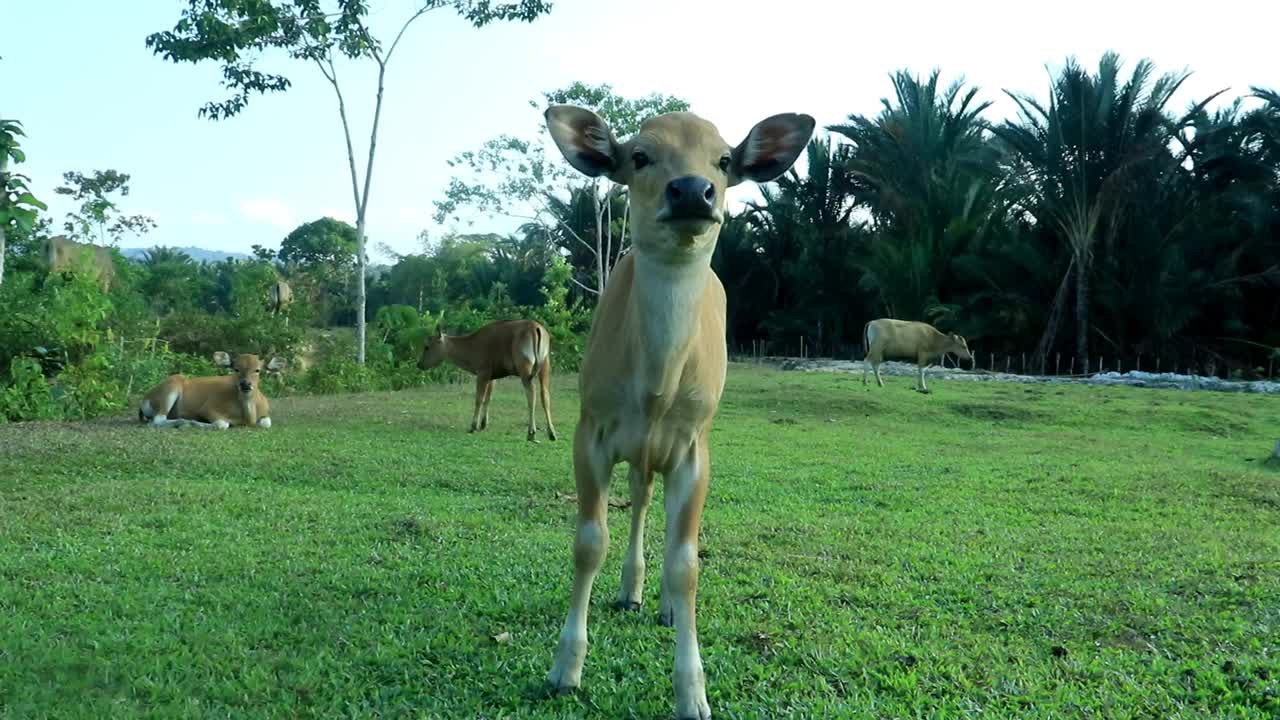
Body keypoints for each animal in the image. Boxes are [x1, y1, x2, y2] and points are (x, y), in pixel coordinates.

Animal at [141, 351, 289, 427]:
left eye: (257, 370)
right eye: (236, 369)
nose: (245, 384)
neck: (247, 417)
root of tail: (144, 399)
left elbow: (266, 423)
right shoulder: (208, 408)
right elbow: (221, 425)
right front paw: (195, 422)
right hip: (172, 385)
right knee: (158, 419)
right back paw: (184, 422)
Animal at [414, 316, 555, 440]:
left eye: (426, 346)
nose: (419, 364)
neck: (471, 347)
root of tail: (535, 327)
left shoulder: (482, 373)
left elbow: (479, 399)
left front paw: (473, 426)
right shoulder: (492, 376)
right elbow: (488, 397)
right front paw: (483, 423)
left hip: (525, 369)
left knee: (531, 394)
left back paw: (531, 433)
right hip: (545, 365)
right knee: (545, 395)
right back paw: (552, 433)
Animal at [545, 102, 814, 717]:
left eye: (724, 160)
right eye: (640, 156)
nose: (693, 191)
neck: (656, 387)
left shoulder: (694, 448)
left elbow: (688, 563)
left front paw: (692, 694)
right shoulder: (590, 432)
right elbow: (588, 543)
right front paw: (565, 668)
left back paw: (663, 604)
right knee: (640, 502)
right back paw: (631, 591)